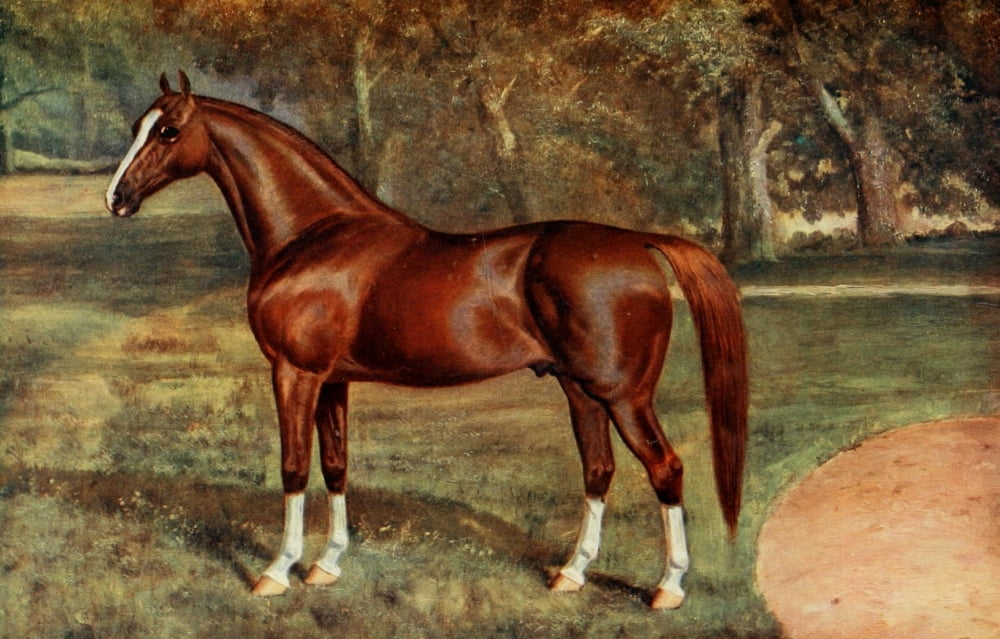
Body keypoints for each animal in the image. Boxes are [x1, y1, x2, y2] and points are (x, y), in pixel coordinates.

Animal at [106, 71, 748, 610]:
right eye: (137, 126)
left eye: (167, 130)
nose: (115, 198)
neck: (314, 236)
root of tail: (637, 242)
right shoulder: (332, 380)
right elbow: (335, 465)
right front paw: (327, 566)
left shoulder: (294, 373)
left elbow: (292, 468)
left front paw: (276, 571)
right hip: (581, 391)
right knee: (599, 470)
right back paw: (571, 574)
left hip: (623, 396)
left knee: (666, 469)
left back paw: (668, 589)